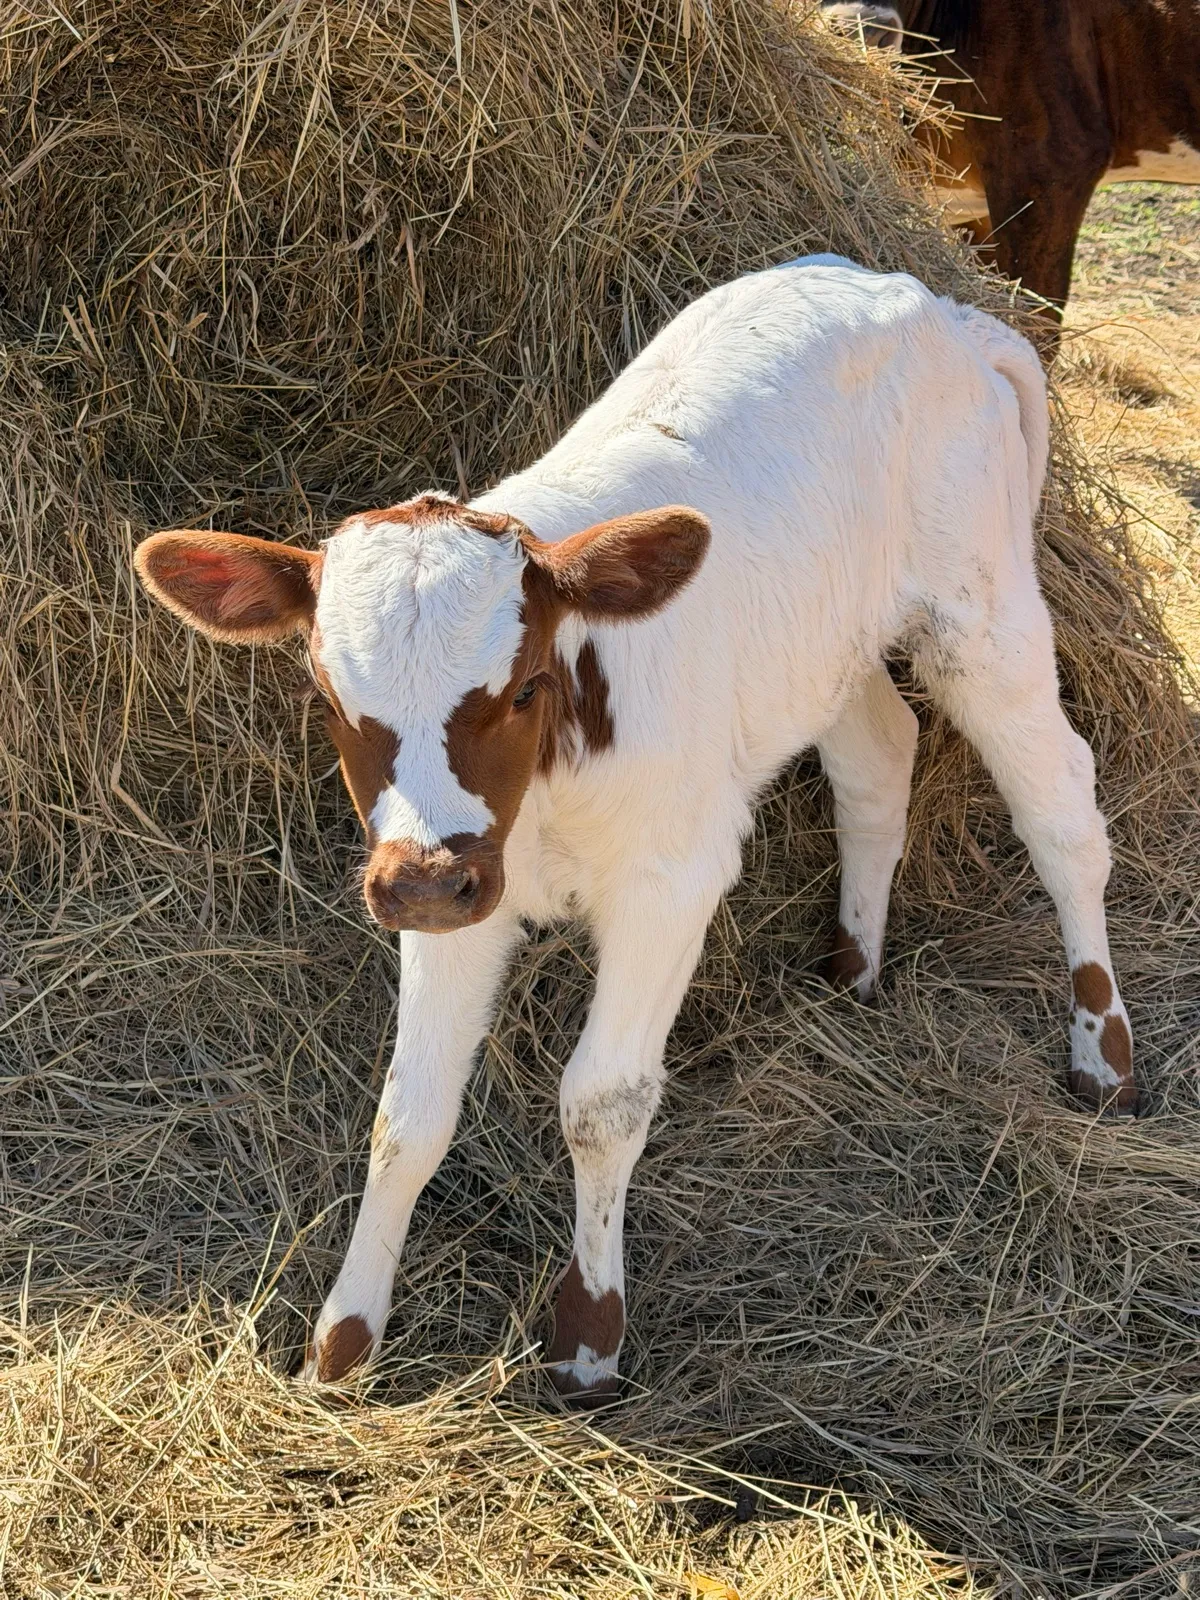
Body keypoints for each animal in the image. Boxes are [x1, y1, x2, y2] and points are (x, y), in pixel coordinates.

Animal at [134, 258, 1139, 1404]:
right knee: (880, 754)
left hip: (983, 616)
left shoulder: (670, 880)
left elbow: (602, 1101)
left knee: (1062, 812)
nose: (424, 880)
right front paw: (342, 1342)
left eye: (524, 687)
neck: (548, 792)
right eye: (330, 693)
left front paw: (587, 1335)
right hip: (820, 647)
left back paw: (1104, 1056)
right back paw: (854, 964)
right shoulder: (456, 893)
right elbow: (408, 1115)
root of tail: (950, 311)